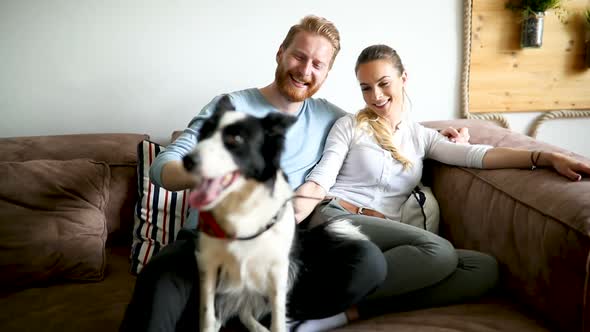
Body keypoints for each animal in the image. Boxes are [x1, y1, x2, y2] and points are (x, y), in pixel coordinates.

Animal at [184, 94, 370, 330]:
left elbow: (278, 317)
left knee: (247, 310)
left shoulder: (277, 269)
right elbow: (208, 314)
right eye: (203, 134)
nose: (187, 161)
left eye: (236, 139)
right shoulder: (208, 263)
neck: (240, 207)